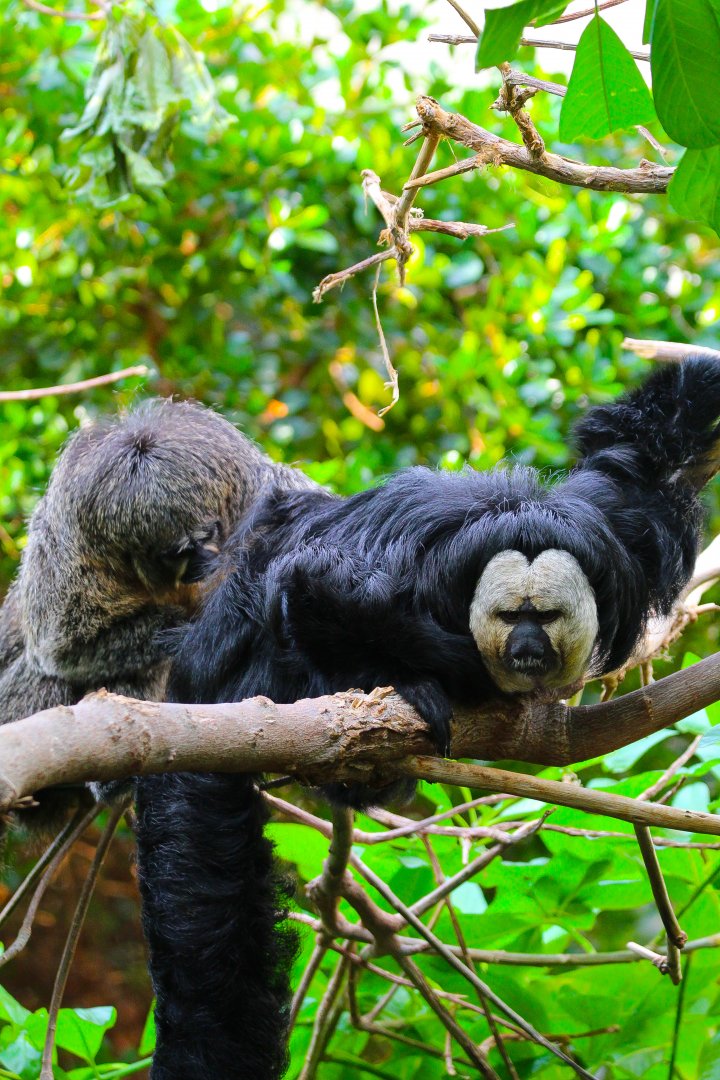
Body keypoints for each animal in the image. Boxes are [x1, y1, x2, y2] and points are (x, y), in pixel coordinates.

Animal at [134, 356, 720, 1079]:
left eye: (547, 616)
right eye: (512, 617)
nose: (527, 651)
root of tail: (193, 699)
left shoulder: (617, 534)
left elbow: (637, 460)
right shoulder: (402, 572)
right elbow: (311, 585)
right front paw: (442, 673)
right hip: (246, 692)